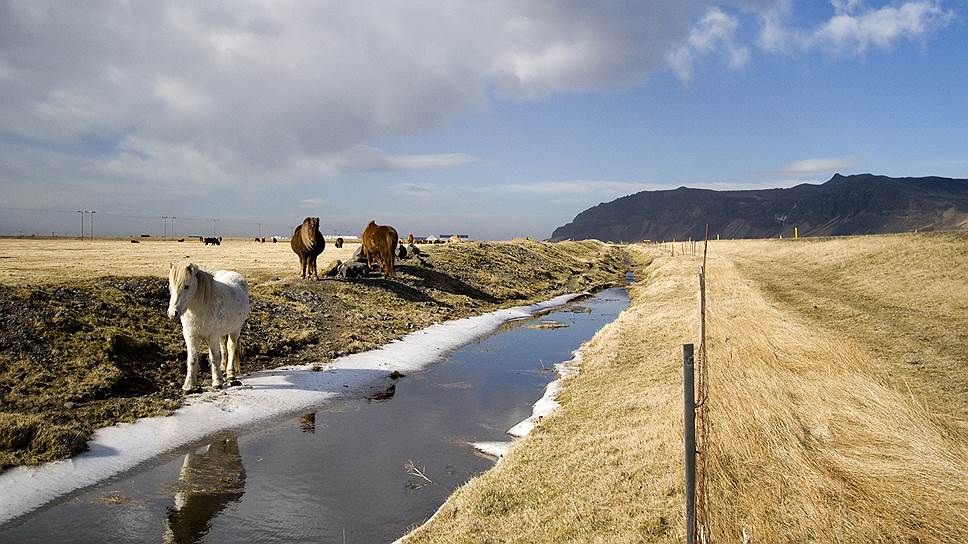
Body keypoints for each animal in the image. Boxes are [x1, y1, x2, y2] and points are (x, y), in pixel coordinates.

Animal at [166, 260, 250, 392]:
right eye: (170, 287)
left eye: (186, 286)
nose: (172, 313)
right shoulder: (190, 335)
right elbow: (192, 359)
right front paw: (188, 386)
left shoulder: (213, 335)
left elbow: (214, 357)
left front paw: (217, 382)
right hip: (223, 333)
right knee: (224, 347)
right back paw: (223, 369)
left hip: (235, 330)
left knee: (231, 348)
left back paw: (230, 374)